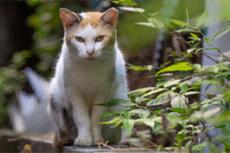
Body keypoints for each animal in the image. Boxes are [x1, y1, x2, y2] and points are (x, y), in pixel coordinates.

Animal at [49, 7, 127, 148]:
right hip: (56, 97)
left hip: (119, 104)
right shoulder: (73, 91)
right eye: (79, 39)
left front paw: (97, 139)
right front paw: (84, 138)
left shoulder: (103, 90)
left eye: (100, 38)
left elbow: (96, 117)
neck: (89, 68)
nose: (90, 52)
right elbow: (81, 117)